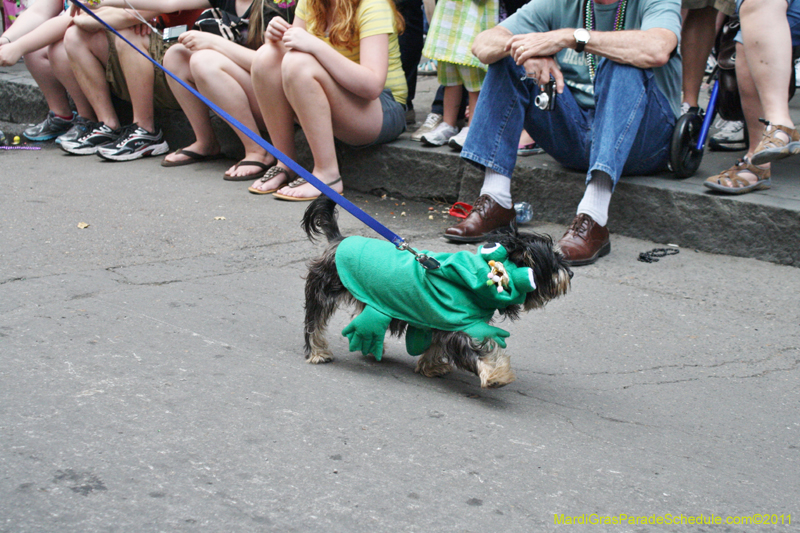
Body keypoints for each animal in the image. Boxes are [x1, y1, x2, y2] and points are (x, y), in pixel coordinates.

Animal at [304, 197, 572, 388]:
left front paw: (431, 367)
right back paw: (317, 352)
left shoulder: (438, 321)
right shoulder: (456, 325)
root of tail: (337, 240)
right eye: (553, 262)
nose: (569, 273)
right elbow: (473, 352)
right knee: (313, 323)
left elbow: (435, 345)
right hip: (323, 291)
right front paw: (496, 374)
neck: (480, 275)